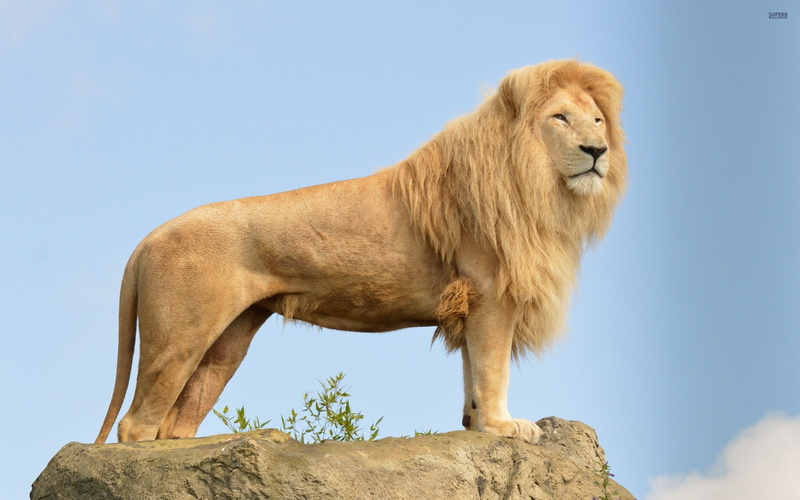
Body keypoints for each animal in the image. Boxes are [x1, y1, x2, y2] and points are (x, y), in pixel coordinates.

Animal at [95, 59, 627, 444]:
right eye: (560, 117)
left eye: (598, 120)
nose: (597, 150)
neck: (541, 188)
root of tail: (149, 237)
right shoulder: (491, 294)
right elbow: (492, 369)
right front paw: (504, 426)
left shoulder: (471, 303)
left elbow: (473, 373)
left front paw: (476, 424)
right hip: (180, 335)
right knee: (137, 424)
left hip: (227, 341)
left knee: (176, 422)